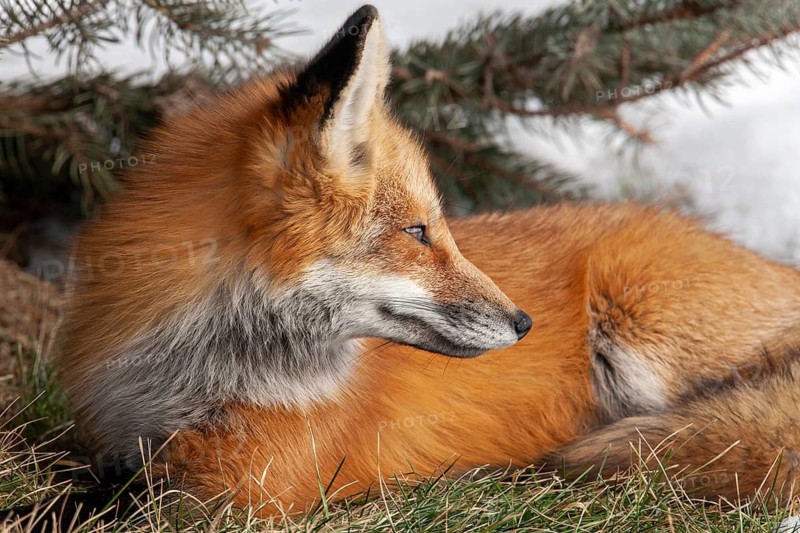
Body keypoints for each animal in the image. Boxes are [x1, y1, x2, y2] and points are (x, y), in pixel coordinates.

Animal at [56, 4, 800, 517]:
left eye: (440, 226)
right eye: (418, 231)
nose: (525, 322)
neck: (185, 368)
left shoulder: (238, 491)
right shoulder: (113, 443)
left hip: (646, 329)